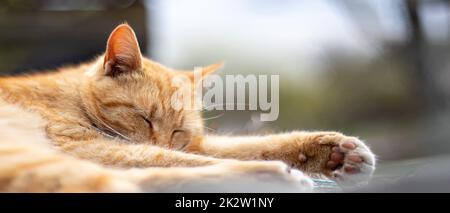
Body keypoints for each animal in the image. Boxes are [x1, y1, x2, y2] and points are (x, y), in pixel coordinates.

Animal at [0, 24, 374, 192]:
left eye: (177, 130)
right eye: (144, 118)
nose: (163, 140)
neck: (74, 96)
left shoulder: (193, 143)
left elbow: (248, 146)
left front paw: (336, 153)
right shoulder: (95, 148)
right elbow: (177, 158)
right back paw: (277, 177)